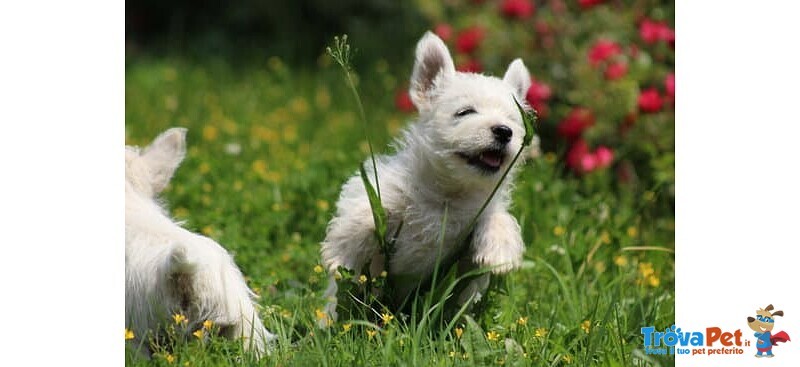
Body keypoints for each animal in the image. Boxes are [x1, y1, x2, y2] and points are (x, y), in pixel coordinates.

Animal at [318, 32, 532, 322]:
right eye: (465, 112)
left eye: (512, 119)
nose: (504, 131)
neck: (448, 193)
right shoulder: (384, 188)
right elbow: (366, 212)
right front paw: (340, 254)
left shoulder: (479, 220)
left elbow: (498, 218)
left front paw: (500, 252)